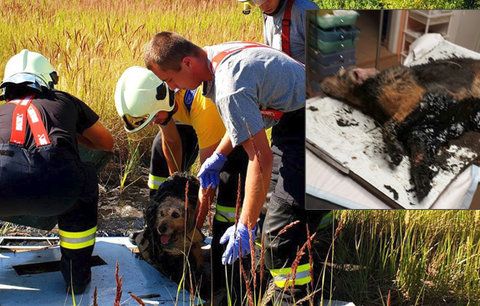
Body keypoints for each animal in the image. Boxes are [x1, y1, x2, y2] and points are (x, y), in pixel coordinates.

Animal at [318, 58, 480, 201]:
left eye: (340, 75)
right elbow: (418, 153)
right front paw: (422, 180)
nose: (321, 83)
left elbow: (388, 127)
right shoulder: (423, 132)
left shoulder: (416, 98)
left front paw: (395, 152)